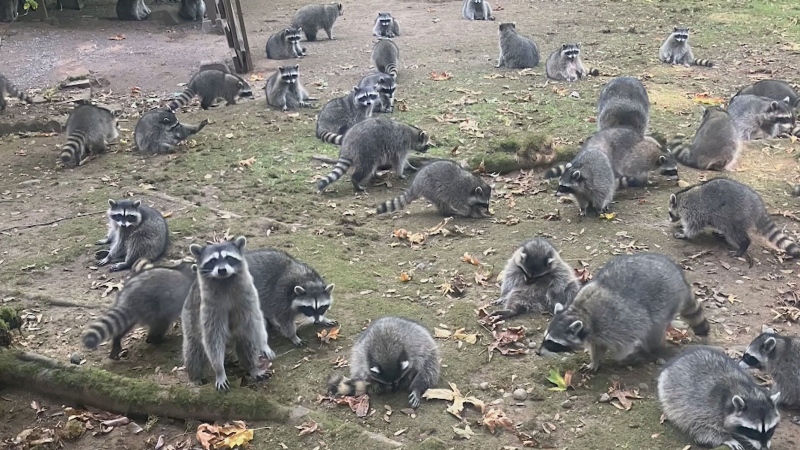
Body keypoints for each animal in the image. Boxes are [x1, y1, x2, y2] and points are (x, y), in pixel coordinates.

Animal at [183, 236, 276, 390]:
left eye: (229, 258)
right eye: (212, 261)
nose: (222, 270)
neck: (224, 280)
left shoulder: (249, 296)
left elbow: (256, 321)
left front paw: (264, 344)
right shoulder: (209, 307)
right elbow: (212, 338)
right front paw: (219, 370)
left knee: (247, 341)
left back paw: (252, 367)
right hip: (189, 318)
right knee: (193, 349)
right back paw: (195, 376)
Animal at [536, 251, 708, 370]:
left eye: (552, 343)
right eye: (544, 338)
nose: (538, 353)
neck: (580, 313)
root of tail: (680, 277)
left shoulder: (619, 322)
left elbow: (624, 345)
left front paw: (623, 357)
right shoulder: (595, 333)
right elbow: (597, 346)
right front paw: (595, 361)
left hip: (666, 300)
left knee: (653, 331)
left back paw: (652, 349)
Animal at [668, 178, 800, 266]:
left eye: (670, 213)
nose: (670, 220)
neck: (681, 199)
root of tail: (758, 205)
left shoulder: (694, 211)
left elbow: (693, 226)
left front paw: (684, 233)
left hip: (736, 217)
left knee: (734, 233)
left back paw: (743, 246)